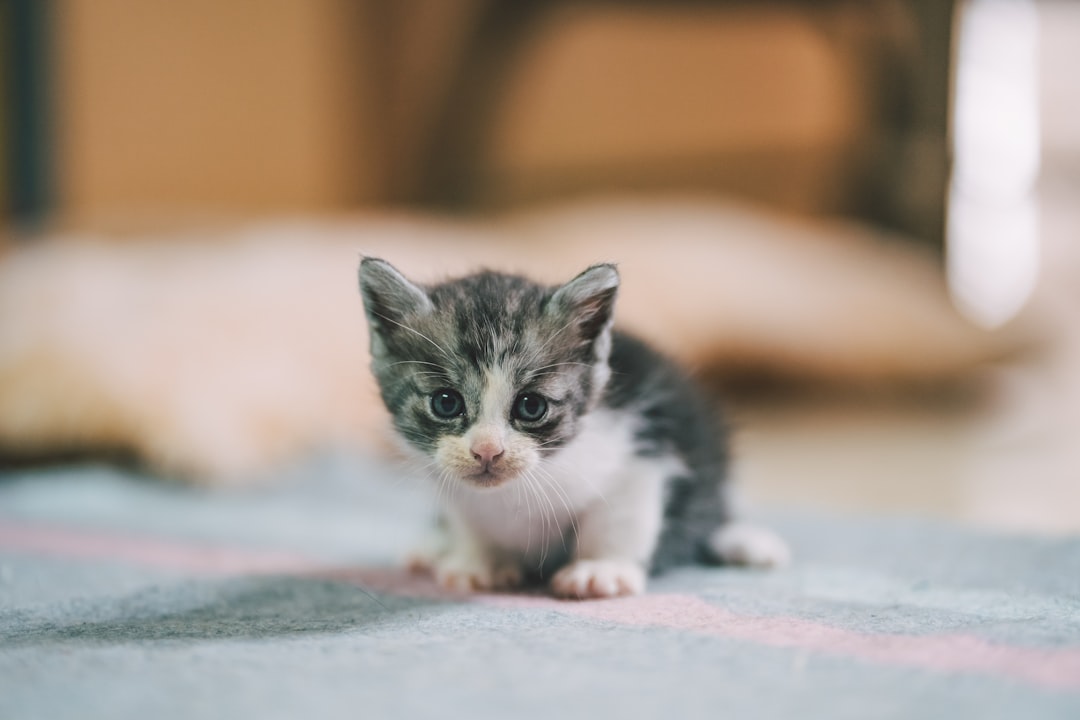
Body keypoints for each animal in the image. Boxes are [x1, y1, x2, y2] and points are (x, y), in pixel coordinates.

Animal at [358, 255, 790, 600]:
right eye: (446, 403)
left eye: (531, 406)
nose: (487, 451)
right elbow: (469, 516)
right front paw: (480, 560)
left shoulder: (641, 447)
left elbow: (618, 518)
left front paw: (601, 568)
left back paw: (746, 541)